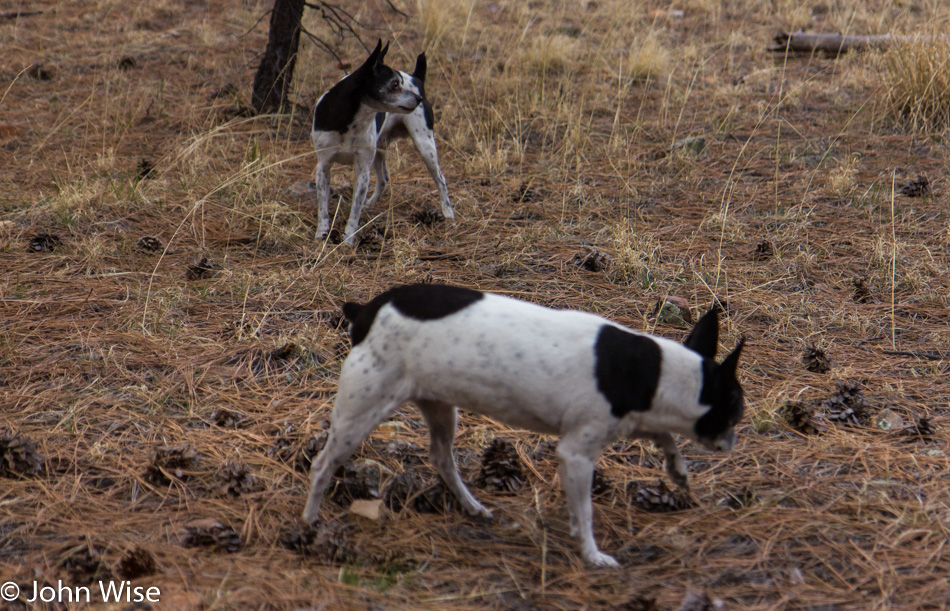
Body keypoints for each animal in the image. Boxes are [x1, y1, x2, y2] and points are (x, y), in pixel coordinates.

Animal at [304, 284, 744, 568]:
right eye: (736, 408)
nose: (734, 438)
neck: (657, 373)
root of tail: (365, 310)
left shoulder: (634, 419)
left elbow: (665, 436)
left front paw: (678, 470)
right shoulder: (577, 454)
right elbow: (584, 512)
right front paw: (592, 554)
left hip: (441, 408)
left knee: (442, 459)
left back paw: (472, 506)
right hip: (360, 412)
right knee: (322, 465)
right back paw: (309, 522)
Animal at [310, 39, 456, 246]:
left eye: (400, 83)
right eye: (394, 84)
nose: (418, 98)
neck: (350, 121)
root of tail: (417, 78)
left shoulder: (362, 169)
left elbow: (354, 211)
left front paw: (348, 239)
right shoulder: (323, 166)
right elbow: (323, 208)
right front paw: (321, 234)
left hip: (424, 145)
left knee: (440, 180)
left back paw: (448, 213)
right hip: (379, 150)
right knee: (384, 178)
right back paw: (370, 203)